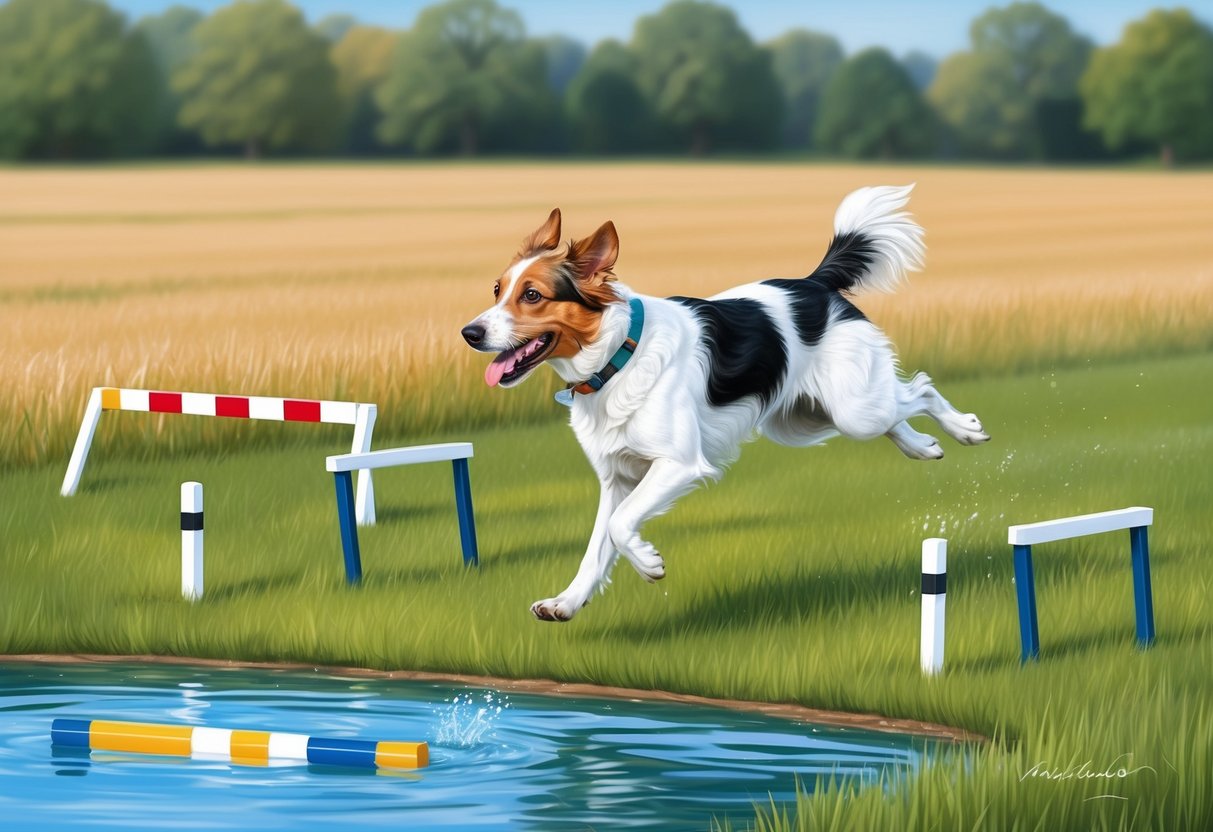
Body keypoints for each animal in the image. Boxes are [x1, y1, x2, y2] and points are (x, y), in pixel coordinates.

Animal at [460, 185, 984, 620]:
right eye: (497, 290)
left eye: (532, 295)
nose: (469, 333)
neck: (617, 357)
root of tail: (816, 284)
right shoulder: (618, 478)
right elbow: (597, 546)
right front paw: (566, 603)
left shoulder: (678, 464)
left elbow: (620, 527)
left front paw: (648, 564)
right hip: (806, 420)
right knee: (898, 412)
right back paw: (923, 447)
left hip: (853, 409)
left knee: (922, 388)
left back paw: (965, 428)